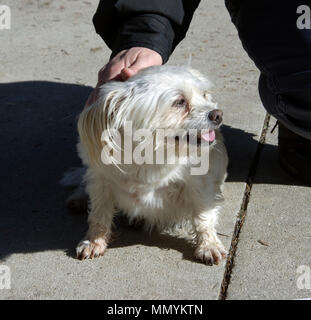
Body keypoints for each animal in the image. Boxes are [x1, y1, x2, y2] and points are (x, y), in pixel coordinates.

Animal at [64, 65, 229, 264]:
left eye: (204, 95)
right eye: (180, 102)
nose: (218, 114)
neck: (151, 156)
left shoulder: (200, 185)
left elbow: (203, 216)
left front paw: (209, 245)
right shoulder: (101, 182)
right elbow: (99, 213)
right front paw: (94, 241)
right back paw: (79, 198)